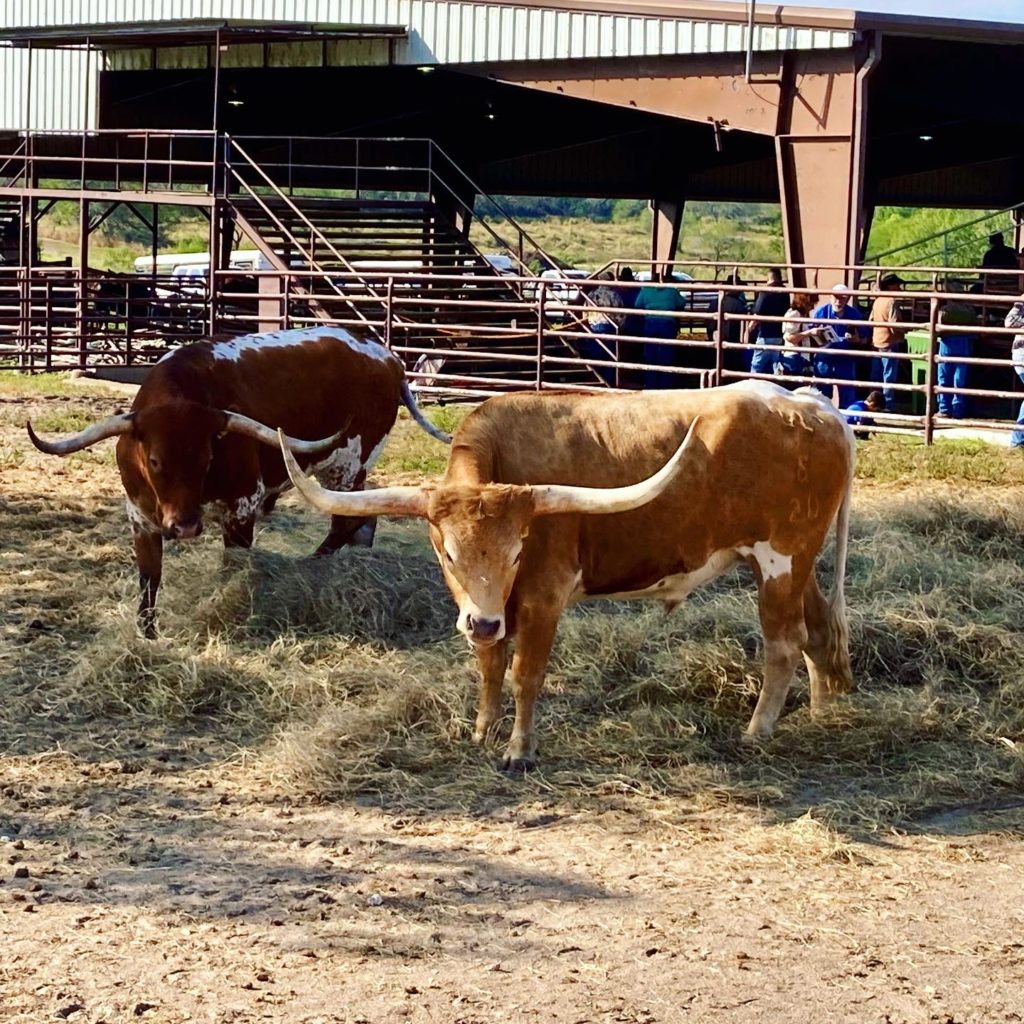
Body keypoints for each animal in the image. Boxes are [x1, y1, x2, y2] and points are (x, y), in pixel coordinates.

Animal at [27, 325, 448, 630]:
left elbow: (232, 573)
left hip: (347, 465)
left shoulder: (242, 509)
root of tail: (386, 356)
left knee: (345, 524)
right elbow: (150, 580)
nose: (184, 527)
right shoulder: (141, 518)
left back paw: (309, 566)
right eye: (155, 460)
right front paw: (147, 634)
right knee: (363, 522)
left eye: (207, 457)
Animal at [278, 380, 856, 770]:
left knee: (784, 643)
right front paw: (481, 732)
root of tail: (812, 405)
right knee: (819, 632)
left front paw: (518, 750)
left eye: (518, 552)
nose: (480, 623)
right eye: (448, 555)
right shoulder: (493, 610)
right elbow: (490, 667)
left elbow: (524, 675)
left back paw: (757, 730)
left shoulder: (542, 598)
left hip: (781, 561)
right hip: (793, 565)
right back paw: (823, 713)